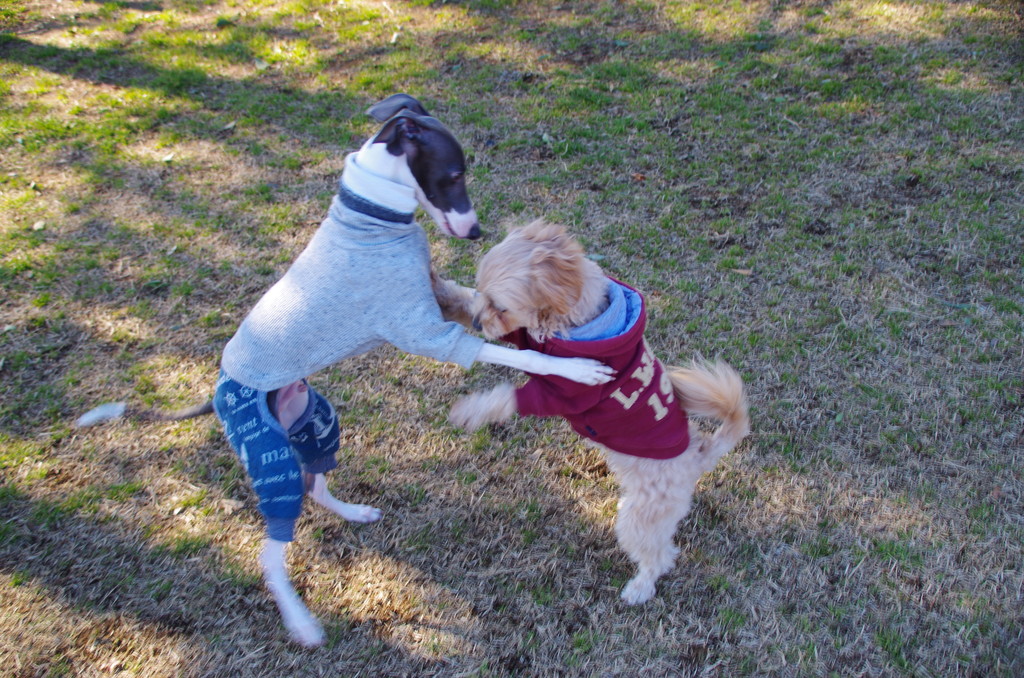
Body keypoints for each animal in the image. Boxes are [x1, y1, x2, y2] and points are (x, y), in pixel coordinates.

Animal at [79, 95, 610, 647]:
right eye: (454, 173)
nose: (477, 231)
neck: (373, 216)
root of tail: (221, 390)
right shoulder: (422, 330)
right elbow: (512, 353)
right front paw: (578, 369)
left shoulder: (435, 294)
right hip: (269, 459)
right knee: (269, 551)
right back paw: (301, 622)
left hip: (316, 421)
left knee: (315, 483)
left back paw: (355, 513)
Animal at [452, 222, 749, 606]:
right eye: (481, 292)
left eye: (501, 308)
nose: (476, 323)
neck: (582, 321)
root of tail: (700, 452)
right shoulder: (530, 341)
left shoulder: (562, 395)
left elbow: (508, 397)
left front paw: (470, 410)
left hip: (641, 519)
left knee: (661, 556)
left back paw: (640, 588)